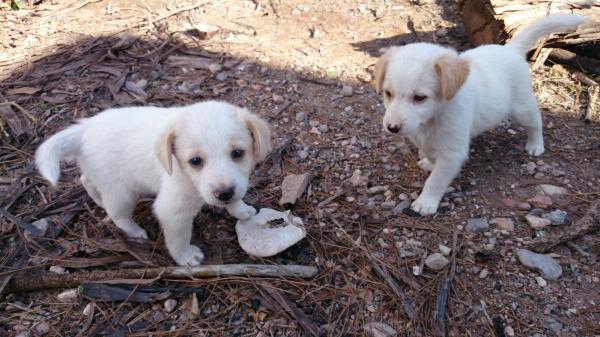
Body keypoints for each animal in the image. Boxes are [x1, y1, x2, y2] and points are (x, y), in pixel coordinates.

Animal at [36, 100, 270, 266]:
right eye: (195, 161)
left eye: (238, 153)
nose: (224, 193)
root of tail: (85, 128)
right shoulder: (172, 211)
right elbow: (179, 238)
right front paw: (186, 257)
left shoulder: (236, 182)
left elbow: (237, 197)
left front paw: (241, 210)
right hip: (122, 193)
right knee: (117, 213)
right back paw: (135, 232)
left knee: (86, 180)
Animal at [376, 13, 584, 215]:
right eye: (388, 93)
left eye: (420, 98)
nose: (392, 128)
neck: (432, 118)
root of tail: (511, 49)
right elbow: (430, 154)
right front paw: (429, 163)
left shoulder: (453, 153)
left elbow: (436, 181)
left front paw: (426, 202)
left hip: (523, 106)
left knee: (535, 123)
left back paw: (535, 145)